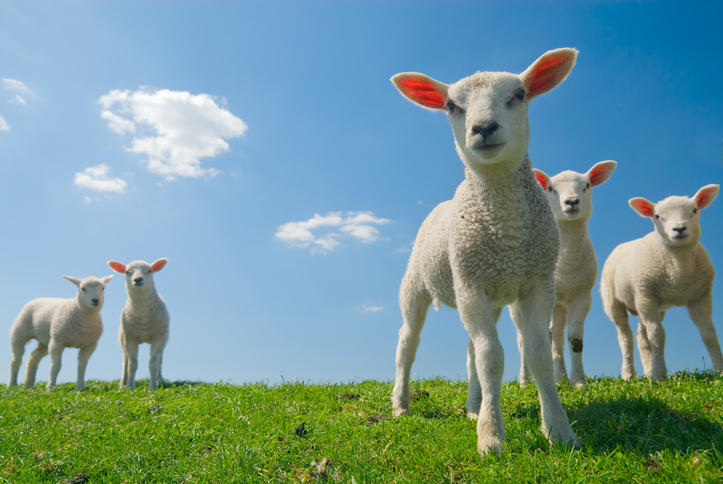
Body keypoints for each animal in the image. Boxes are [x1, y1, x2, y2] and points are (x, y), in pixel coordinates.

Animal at [108, 260, 170, 392]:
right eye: (127, 272)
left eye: (149, 271)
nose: (137, 279)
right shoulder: (130, 338)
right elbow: (132, 365)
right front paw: (130, 387)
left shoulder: (158, 338)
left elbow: (153, 364)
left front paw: (153, 387)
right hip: (123, 339)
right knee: (125, 361)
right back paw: (123, 383)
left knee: (160, 361)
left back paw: (160, 380)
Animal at [390, 48, 584, 454]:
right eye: (451, 105)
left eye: (520, 94)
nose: (483, 127)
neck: (506, 231)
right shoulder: (470, 282)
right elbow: (492, 358)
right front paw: (491, 437)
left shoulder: (538, 281)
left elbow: (537, 355)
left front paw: (559, 430)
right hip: (418, 284)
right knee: (408, 342)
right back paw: (401, 404)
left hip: (489, 295)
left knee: (470, 351)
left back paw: (472, 406)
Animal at [516, 161, 620, 388]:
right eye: (550, 189)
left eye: (587, 185)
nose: (571, 201)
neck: (564, 264)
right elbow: (541, 336)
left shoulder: (582, 295)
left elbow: (574, 338)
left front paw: (579, 381)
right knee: (523, 338)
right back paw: (525, 380)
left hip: (560, 304)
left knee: (556, 336)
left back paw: (561, 377)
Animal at [600, 183, 723, 380]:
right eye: (657, 216)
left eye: (694, 210)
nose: (679, 229)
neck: (679, 271)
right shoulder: (646, 295)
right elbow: (657, 335)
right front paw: (660, 375)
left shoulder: (701, 296)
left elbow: (709, 333)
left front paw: (720, 370)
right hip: (615, 300)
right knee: (625, 337)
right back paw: (628, 374)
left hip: (651, 303)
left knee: (641, 335)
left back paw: (648, 371)